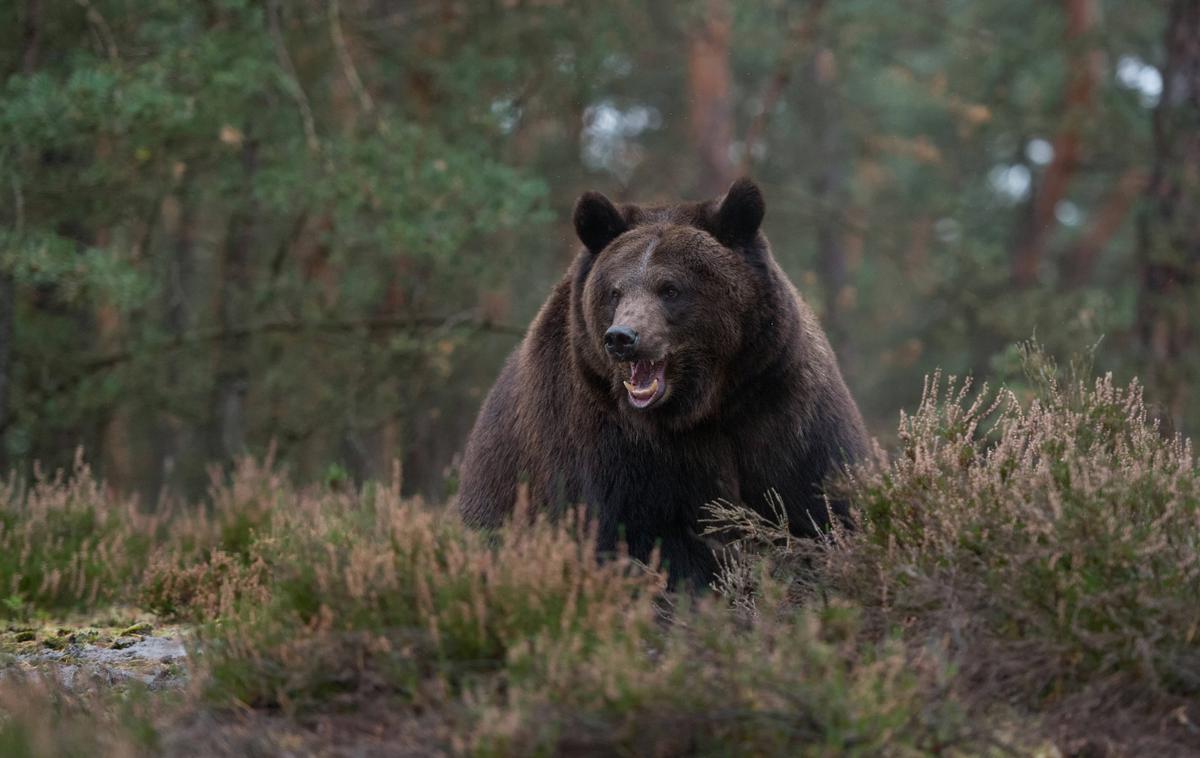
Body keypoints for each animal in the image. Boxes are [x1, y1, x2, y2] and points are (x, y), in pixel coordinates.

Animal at [456, 177, 864, 585]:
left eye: (670, 288)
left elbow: (820, 504)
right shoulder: (613, 444)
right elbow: (647, 540)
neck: (704, 405)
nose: (622, 337)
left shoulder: (780, 409)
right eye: (615, 291)